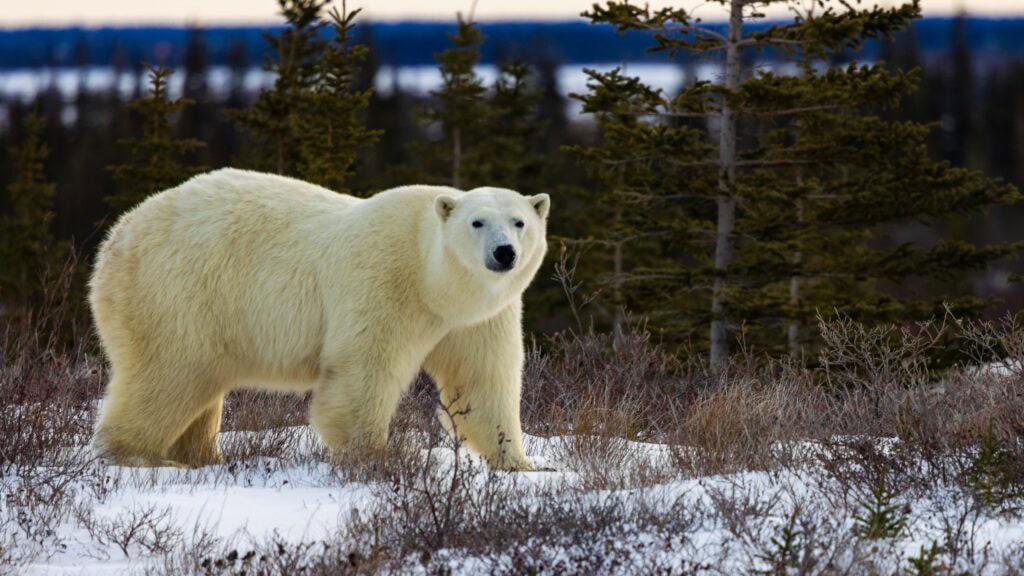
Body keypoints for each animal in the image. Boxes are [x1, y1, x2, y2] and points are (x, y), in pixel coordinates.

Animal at [89, 168, 549, 470]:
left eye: (519, 221)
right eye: (477, 222)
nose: (504, 252)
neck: (432, 278)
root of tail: (119, 234)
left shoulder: (478, 317)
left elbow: (483, 378)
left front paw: (522, 463)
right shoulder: (384, 283)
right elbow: (365, 368)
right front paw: (373, 455)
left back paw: (202, 455)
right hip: (180, 291)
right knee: (171, 374)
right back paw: (139, 455)